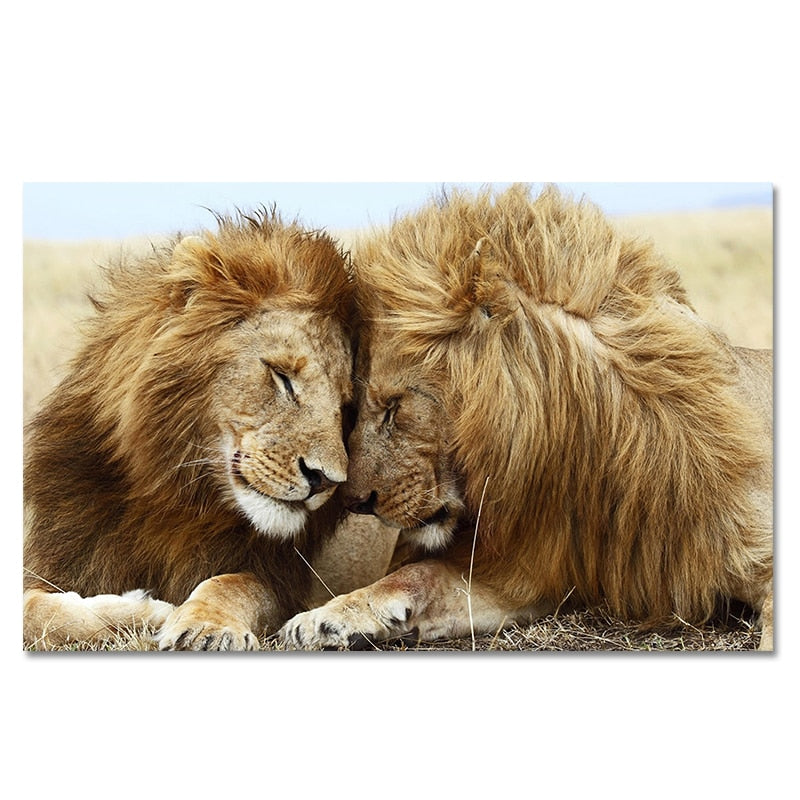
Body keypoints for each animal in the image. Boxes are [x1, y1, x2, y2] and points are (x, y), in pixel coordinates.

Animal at [23, 207, 363, 651]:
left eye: (345, 407)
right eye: (282, 376)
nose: (326, 480)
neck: (174, 493)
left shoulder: (279, 580)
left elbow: (233, 584)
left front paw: (204, 627)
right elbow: (33, 609)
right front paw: (140, 610)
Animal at [278, 184, 774, 651]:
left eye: (394, 405)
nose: (353, 502)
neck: (591, 457)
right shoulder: (529, 572)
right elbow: (418, 575)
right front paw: (325, 618)